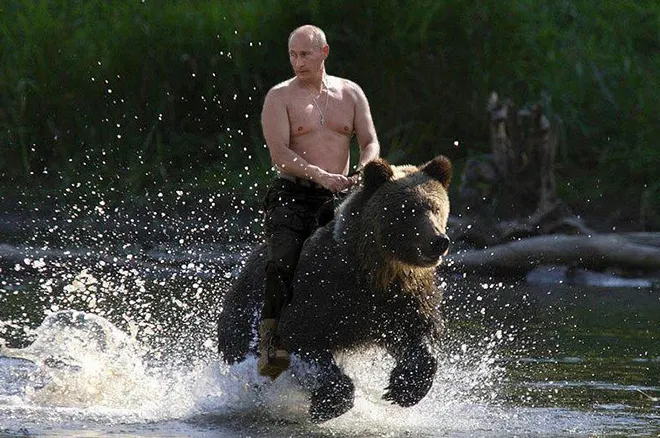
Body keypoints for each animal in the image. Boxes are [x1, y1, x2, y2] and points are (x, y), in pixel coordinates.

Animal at [217, 155, 452, 422]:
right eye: (408, 210)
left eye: (436, 208)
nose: (438, 241)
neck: (375, 270)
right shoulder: (322, 289)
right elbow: (302, 335)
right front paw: (328, 404)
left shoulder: (401, 297)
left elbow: (418, 332)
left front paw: (403, 388)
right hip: (245, 315)